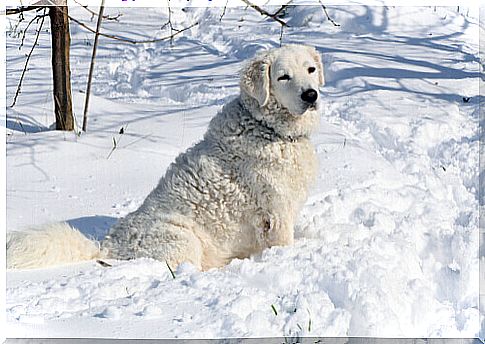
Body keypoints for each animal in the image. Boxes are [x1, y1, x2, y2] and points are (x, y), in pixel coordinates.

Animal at [6, 44, 322, 272]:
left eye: (310, 69)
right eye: (283, 76)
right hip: (184, 239)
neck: (268, 128)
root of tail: (107, 247)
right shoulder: (276, 213)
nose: (311, 95)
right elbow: (283, 242)